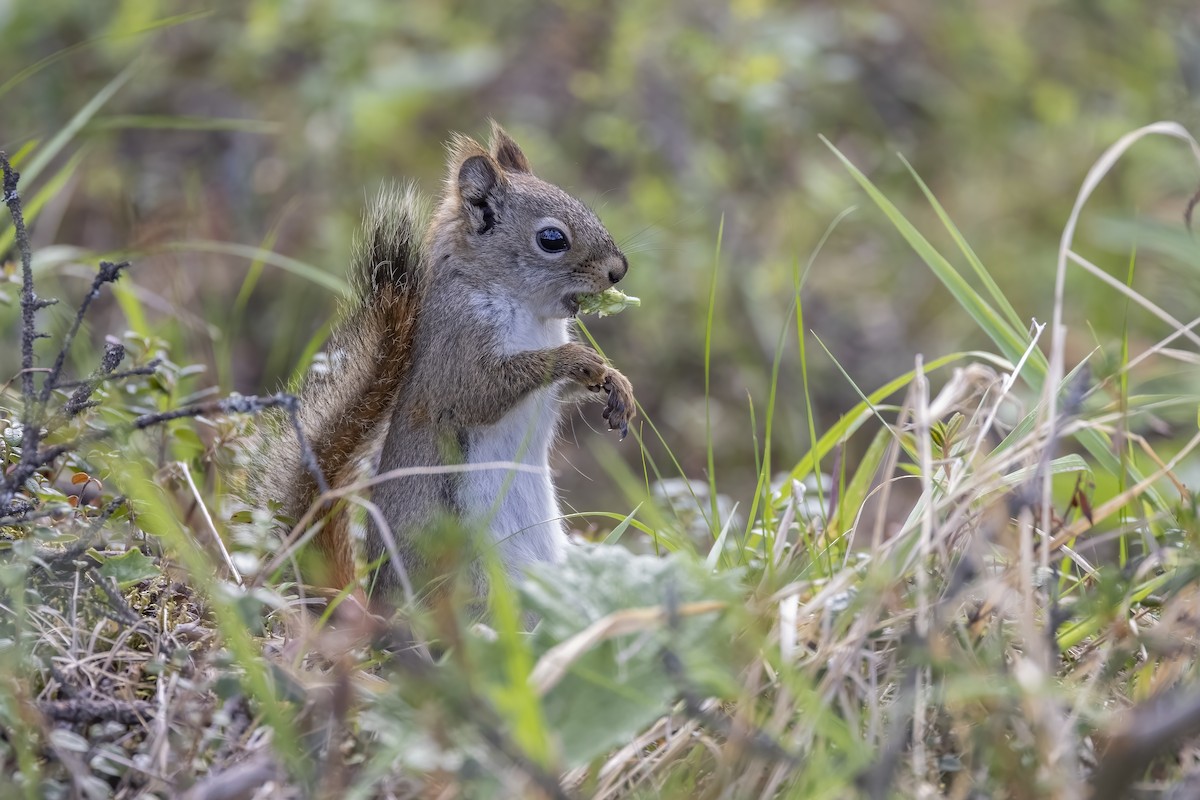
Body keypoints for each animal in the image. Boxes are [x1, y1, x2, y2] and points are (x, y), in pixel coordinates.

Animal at [254, 122, 635, 609]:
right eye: (552, 239)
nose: (619, 270)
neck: (530, 314)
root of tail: (374, 611)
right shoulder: (454, 354)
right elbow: (482, 391)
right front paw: (575, 359)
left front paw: (617, 385)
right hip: (474, 586)